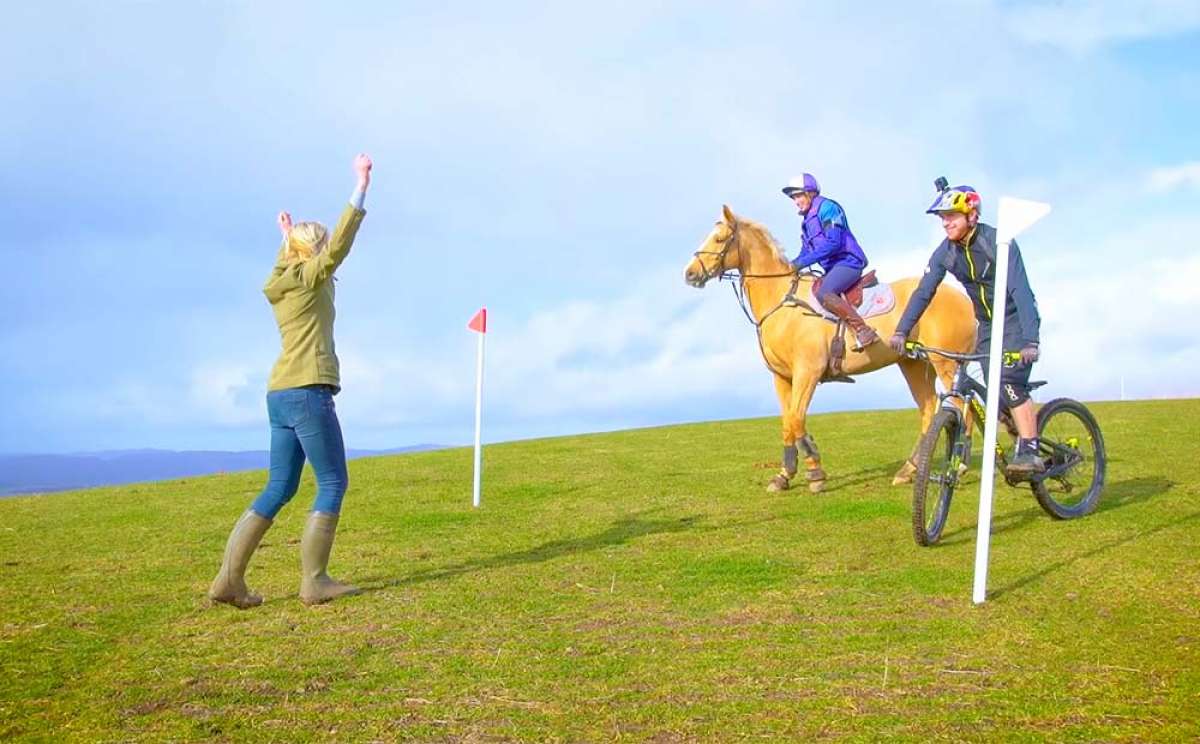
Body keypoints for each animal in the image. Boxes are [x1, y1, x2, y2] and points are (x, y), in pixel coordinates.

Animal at [686, 206, 974, 492]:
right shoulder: (782, 377)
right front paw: (784, 475)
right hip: (913, 363)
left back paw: (959, 466)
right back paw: (908, 470)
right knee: (928, 411)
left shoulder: (807, 372)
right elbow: (787, 423)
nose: (689, 274)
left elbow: (797, 419)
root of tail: (962, 298)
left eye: (719, 239)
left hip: (947, 363)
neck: (782, 301)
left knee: (963, 407)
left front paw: (815, 472)